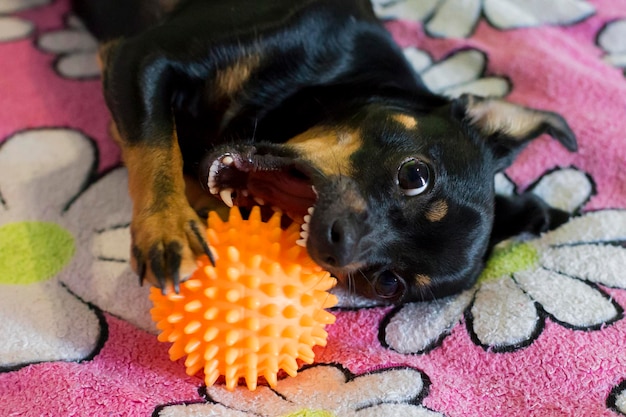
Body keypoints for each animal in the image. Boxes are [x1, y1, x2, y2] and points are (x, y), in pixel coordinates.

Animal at [72, 0, 576, 304]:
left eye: (388, 282)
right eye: (415, 176)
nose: (336, 245)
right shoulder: (142, 56)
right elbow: (156, 145)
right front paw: (167, 229)